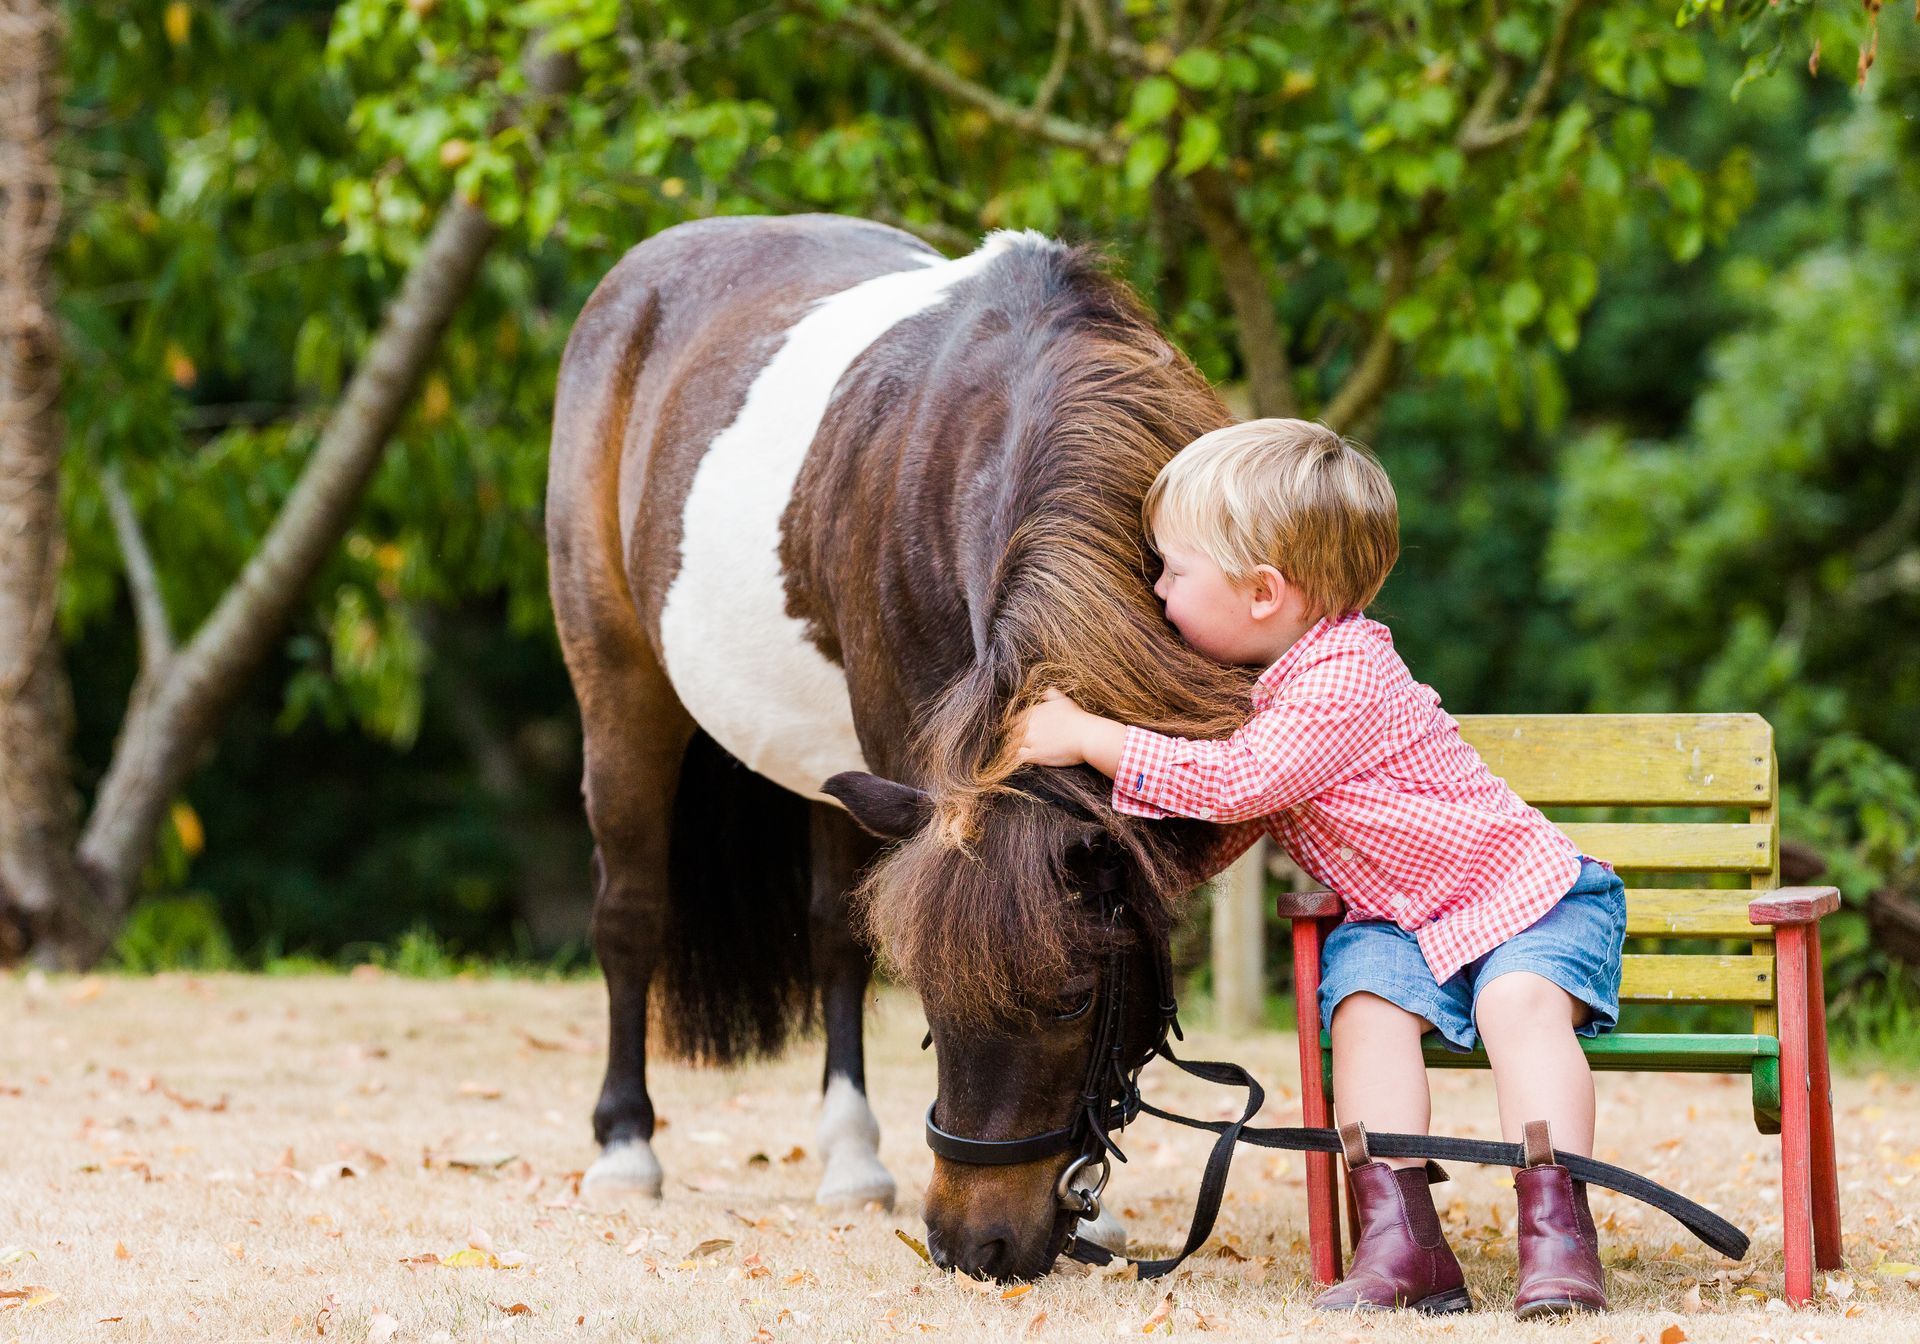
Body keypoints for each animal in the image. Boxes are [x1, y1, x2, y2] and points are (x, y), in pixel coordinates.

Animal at [545, 213, 1257, 1280]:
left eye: (1073, 1001)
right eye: (927, 992)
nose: (976, 1245)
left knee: (834, 935)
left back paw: (849, 1158)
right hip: (623, 689)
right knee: (631, 914)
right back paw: (627, 1150)